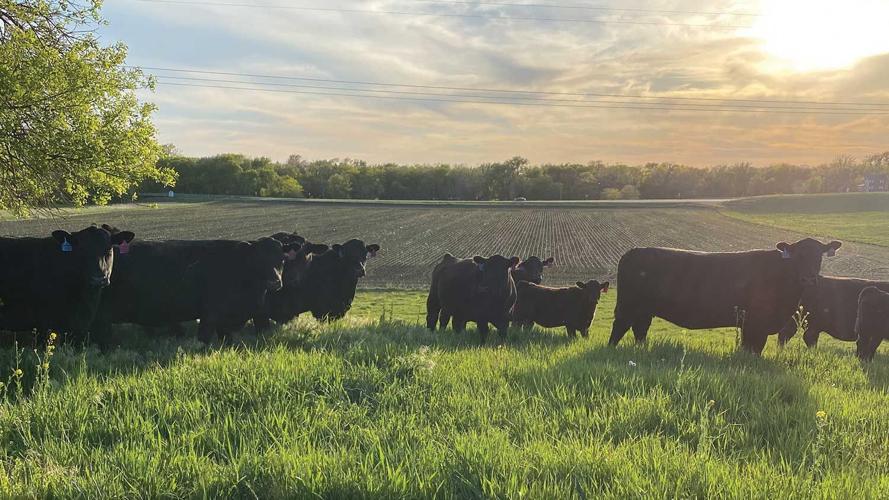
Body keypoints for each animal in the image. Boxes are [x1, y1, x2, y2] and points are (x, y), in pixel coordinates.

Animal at [609, 238, 842, 355]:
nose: (809, 279)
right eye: (798, 256)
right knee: (620, 326)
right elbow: (752, 348)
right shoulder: (755, 323)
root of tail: (634, 250)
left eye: (818, 256)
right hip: (628, 305)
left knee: (640, 329)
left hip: (644, 310)